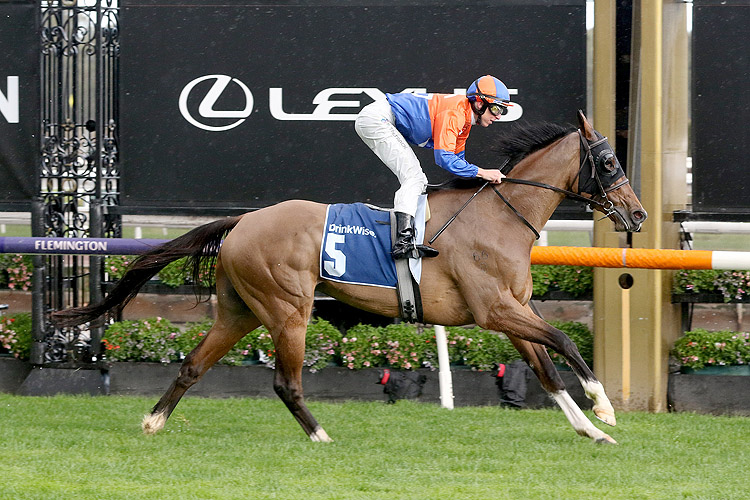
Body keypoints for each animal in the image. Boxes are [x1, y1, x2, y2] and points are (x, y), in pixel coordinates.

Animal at [55, 110, 648, 446]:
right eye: (608, 161)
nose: (638, 214)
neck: (501, 215)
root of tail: (244, 220)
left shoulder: (512, 312)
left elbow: (547, 370)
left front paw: (590, 429)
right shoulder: (495, 310)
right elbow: (564, 340)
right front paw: (604, 406)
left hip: (240, 311)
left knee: (193, 365)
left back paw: (153, 423)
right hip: (287, 309)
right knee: (285, 382)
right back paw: (320, 435)